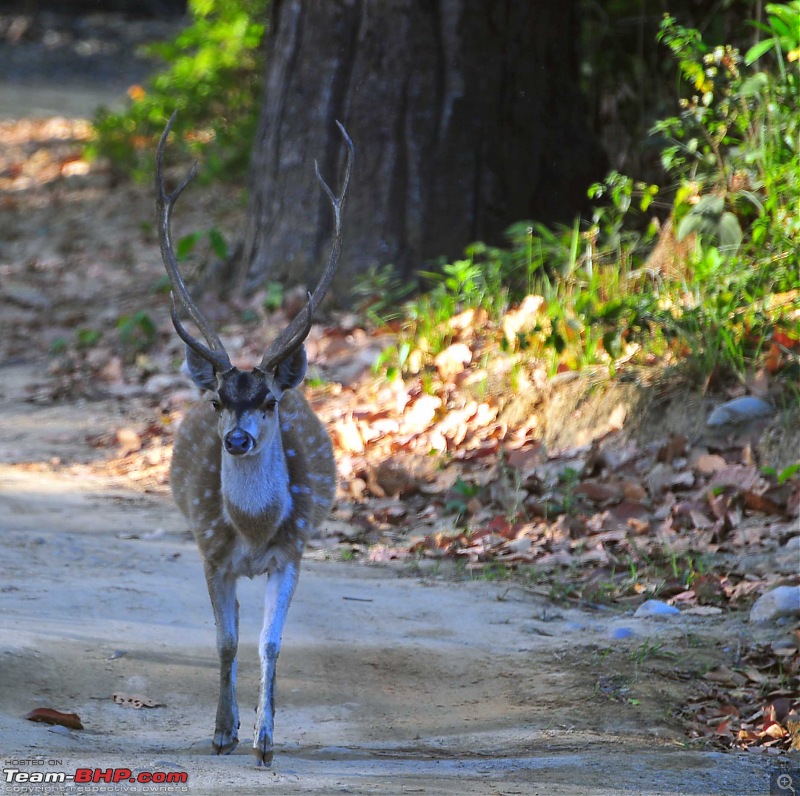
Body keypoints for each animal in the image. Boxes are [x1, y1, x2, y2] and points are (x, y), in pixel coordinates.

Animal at [156, 112, 354, 764]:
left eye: (268, 401)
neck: (253, 529)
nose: (237, 441)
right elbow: (225, 642)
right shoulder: (209, 549)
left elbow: (269, 644)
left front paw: (266, 743)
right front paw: (222, 731)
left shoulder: (292, 552)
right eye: (219, 400)